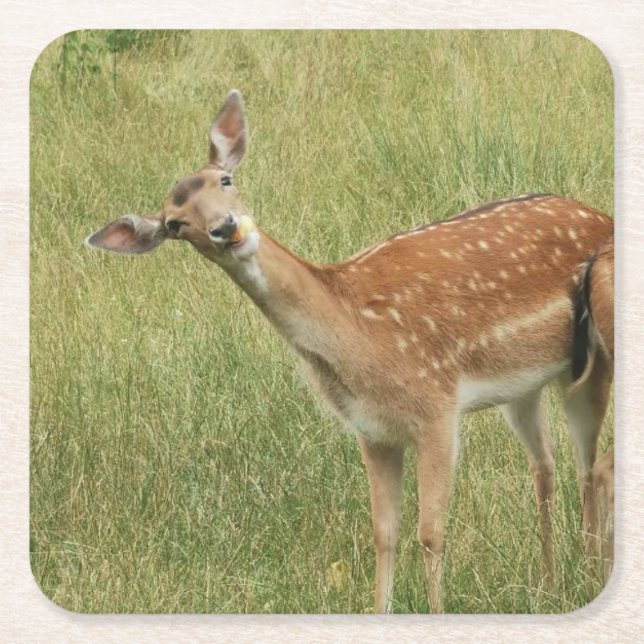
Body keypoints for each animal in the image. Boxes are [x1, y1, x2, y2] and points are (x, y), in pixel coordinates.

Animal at [86, 90, 614, 613]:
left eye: (225, 179)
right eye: (176, 224)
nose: (225, 227)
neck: (359, 338)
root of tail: (599, 215)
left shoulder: (436, 406)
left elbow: (430, 534)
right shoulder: (372, 430)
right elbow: (384, 535)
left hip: (591, 363)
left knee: (588, 464)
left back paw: (587, 576)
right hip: (523, 387)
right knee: (546, 465)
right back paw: (549, 584)